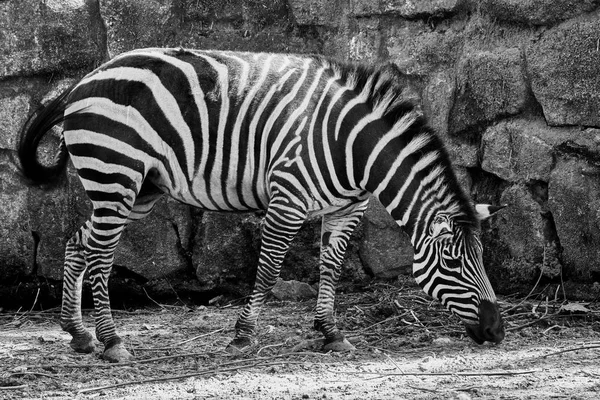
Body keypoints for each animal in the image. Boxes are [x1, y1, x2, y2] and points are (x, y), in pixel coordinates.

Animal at [17, 47, 506, 362]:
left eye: (482, 261)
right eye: (454, 265)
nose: (497, 332)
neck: (354, 147)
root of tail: (86, 76)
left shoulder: (347, 208)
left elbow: (331, 268)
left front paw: (331, 333)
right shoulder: (288, 199)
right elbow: (269, 269)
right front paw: (243, 336)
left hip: (139, 188)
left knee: (78, 243)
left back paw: (79, 335)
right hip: (116, 175)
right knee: (99, 254)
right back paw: (112, 341)